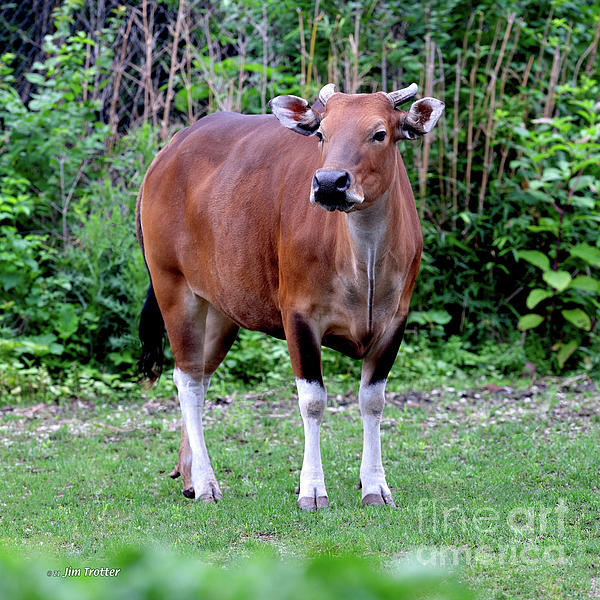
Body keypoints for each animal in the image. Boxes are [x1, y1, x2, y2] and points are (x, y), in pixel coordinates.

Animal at [138, 82, 442, 508]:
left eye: (380, 133)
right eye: (322, 134)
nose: (330, 183)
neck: (363, 262)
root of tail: (167, 153)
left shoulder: (394, 322)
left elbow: (373, 401)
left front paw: (375, 486)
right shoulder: (299, 316)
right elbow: (312, 401)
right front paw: (312, 489)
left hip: (221, 308)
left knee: (200, 377)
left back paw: (189, 475)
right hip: (174, 288)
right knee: (188, 382)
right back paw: (206, 482)